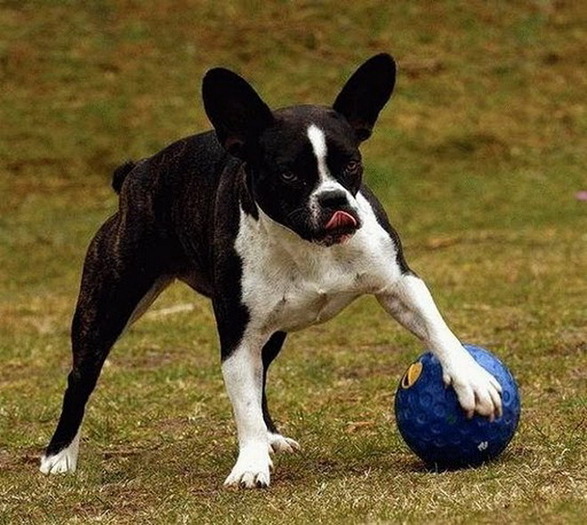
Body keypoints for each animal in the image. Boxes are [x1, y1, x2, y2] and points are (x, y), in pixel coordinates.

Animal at [40, 53, 500, 488]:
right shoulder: (237, 335)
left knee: (262, 376)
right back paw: (58, 456)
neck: (310, 245)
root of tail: (136, 173)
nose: (334, 199)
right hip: (110, 303)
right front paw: (250, 464)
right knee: (81, 377)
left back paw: (272, 436)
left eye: (351, 165)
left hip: (271, 329)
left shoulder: (398, 282)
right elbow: (243, 402)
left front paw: (471, 378)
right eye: (288, 173)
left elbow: (437, 328)